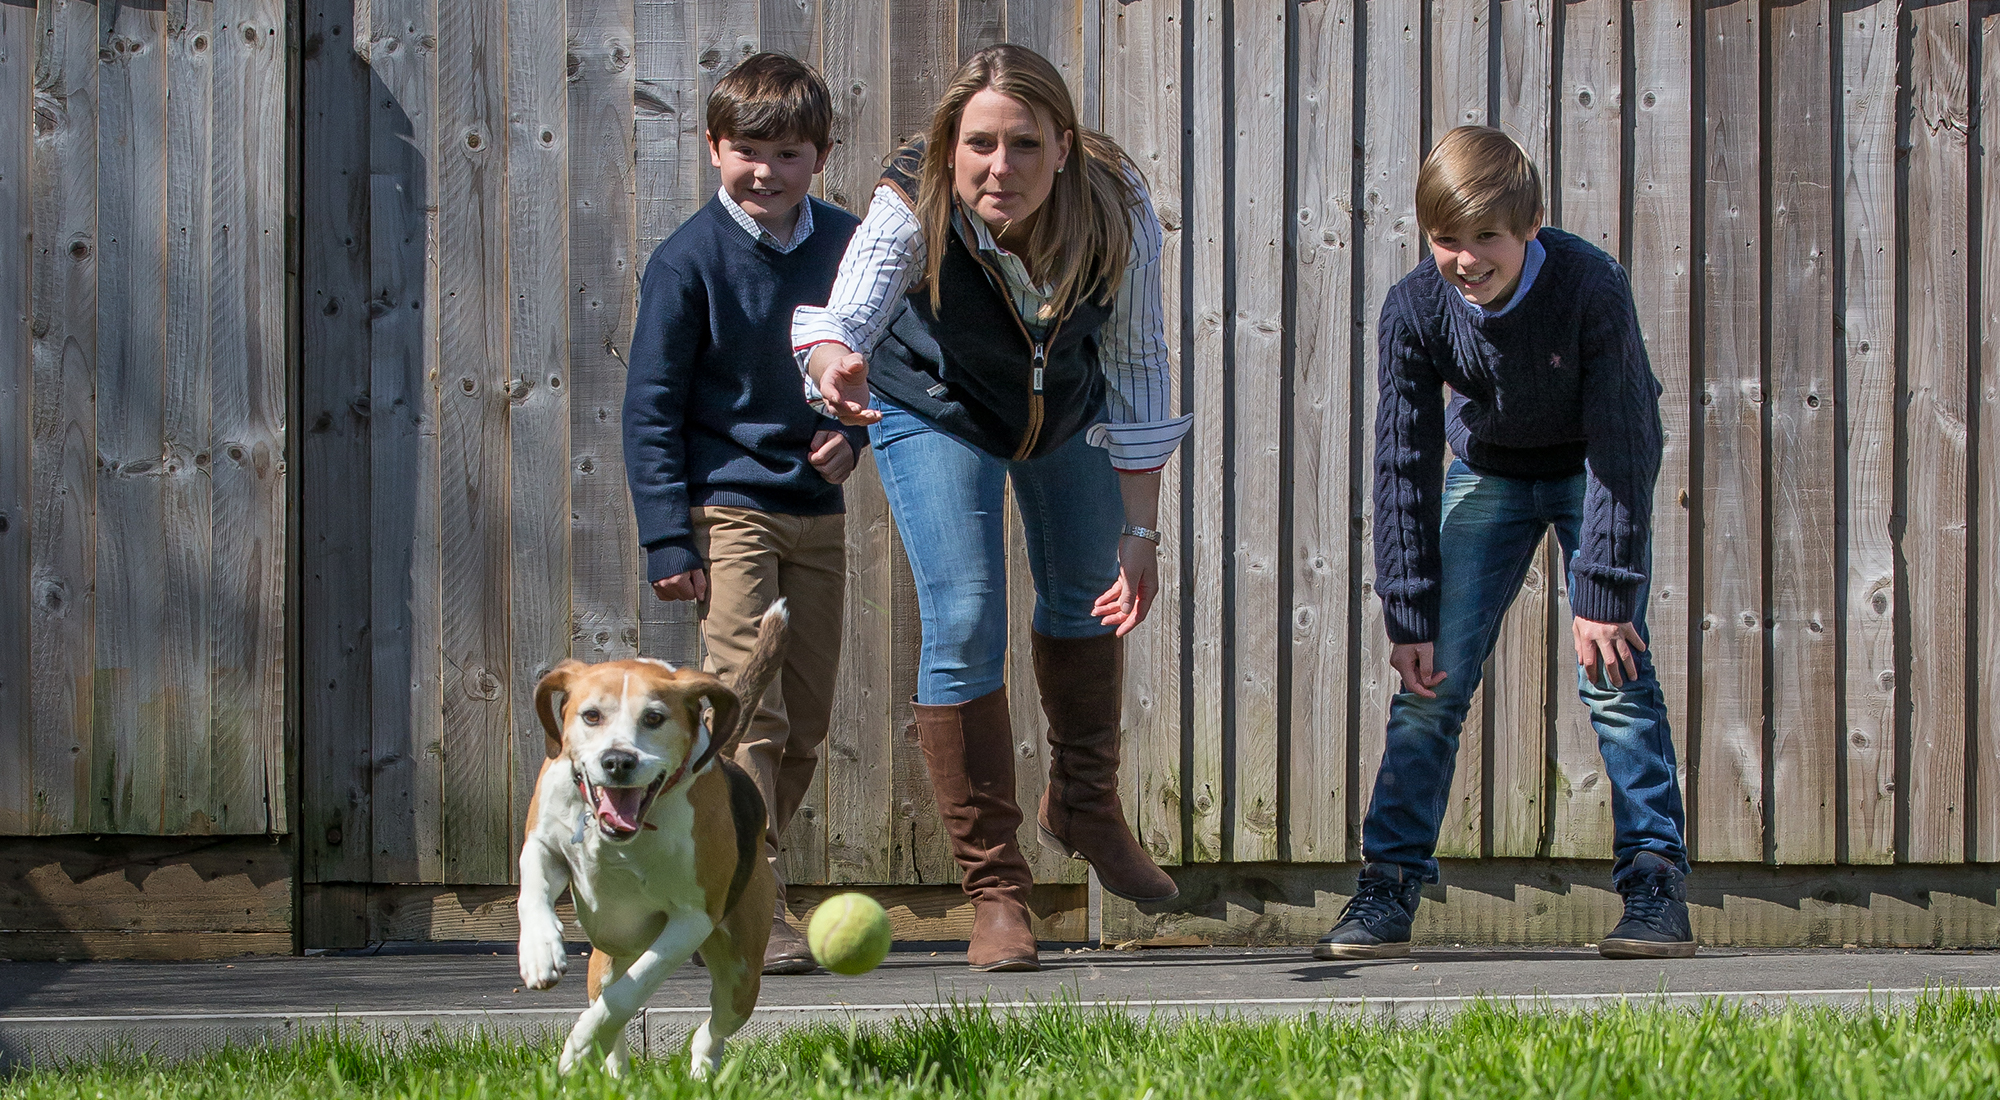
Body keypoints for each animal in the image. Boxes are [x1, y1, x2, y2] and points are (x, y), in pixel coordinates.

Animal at [516, 604, 788, 1080]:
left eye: (654, 718)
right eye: (591, 715)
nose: (618, 761)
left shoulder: (690, 920)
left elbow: (631, 993)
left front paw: (578, 1047)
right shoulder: (542, 845)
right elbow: (532, 891)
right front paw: (539, 951)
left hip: (741, 977)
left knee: (710, 1027)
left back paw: (699, 1068)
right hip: (604, 960)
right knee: (610, 1000)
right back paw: (615, 1072)